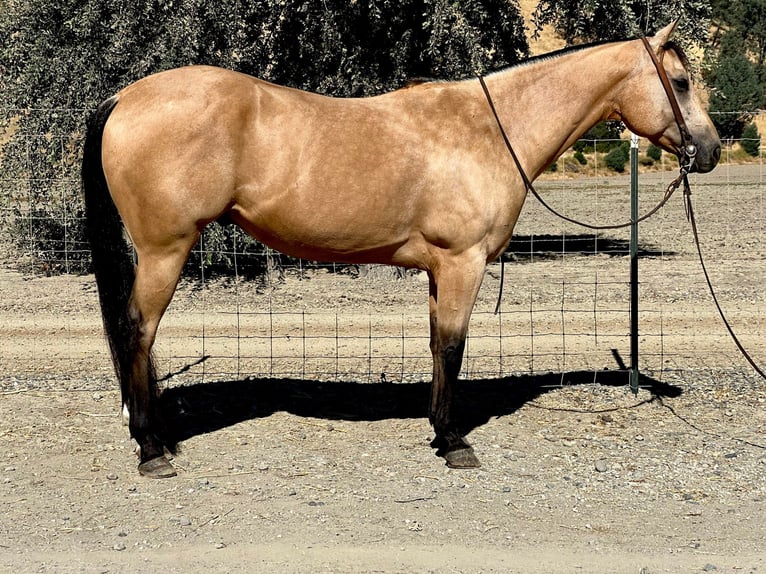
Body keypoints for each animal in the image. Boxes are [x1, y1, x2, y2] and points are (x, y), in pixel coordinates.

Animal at [82, 20, 720, 480]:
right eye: (681, 82)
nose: (711, 150)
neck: (488, 129)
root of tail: (123, 98)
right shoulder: (463, 262)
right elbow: (455, 348)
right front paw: (455, 443)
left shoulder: (440, 268)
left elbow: (438, 347)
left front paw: (439, 431)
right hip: (165, 250)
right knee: (137, 331)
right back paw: (151, 449)